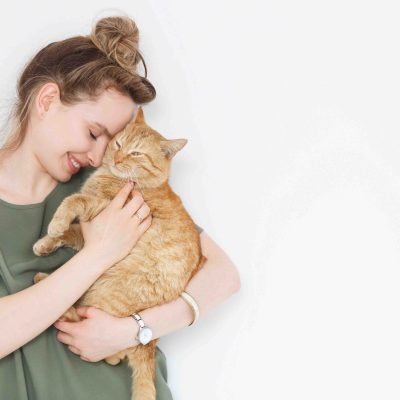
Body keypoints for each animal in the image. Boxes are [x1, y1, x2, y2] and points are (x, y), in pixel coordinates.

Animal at [31, 108, 206, 400]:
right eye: (119, 143)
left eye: (137, 153)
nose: (118, 157)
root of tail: (150, 342)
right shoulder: (90, 231)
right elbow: (72, 232)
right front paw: (46, 242)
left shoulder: (102, 209)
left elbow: (73, 201)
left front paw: (56, 224)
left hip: (102, 291)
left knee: (108, 351)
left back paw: (44, 282)